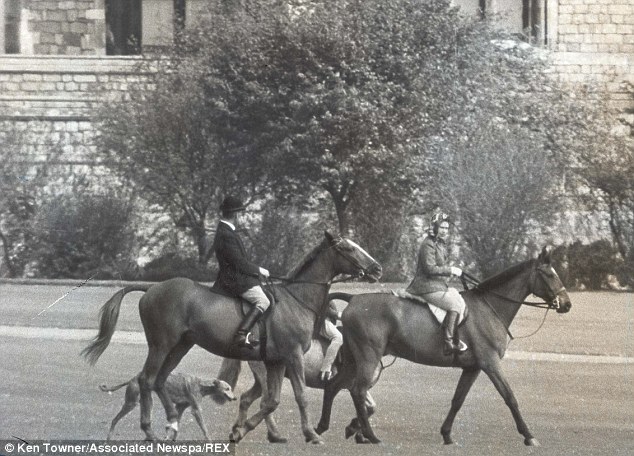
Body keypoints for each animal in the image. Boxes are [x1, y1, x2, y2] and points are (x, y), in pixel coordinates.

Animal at [83, 232, 380, 442]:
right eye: (348, 248)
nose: (377, 269)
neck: (297, 300)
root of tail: (151, 288)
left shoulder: (276, 361)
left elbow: (272, 401)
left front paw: (241, 430)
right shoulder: (292, 356)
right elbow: (300, 396)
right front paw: (312, 434)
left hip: (181, 345)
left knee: (159, 380)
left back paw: (171, 422)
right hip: (161, 345)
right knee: (147, 380)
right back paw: (150, 430)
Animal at [314, 246, 568, 446]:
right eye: (548, 274)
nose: (567, 304)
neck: (489, 307)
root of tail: (354, 299)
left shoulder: (473, 368)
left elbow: (457, 400)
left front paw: (446, 434)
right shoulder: (490, 364)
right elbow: (510, 397)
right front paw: (529, 435)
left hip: (353, 359)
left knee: (334, 386)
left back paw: (323, 428)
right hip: (368, 357)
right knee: (357, 390)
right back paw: (370, 435)